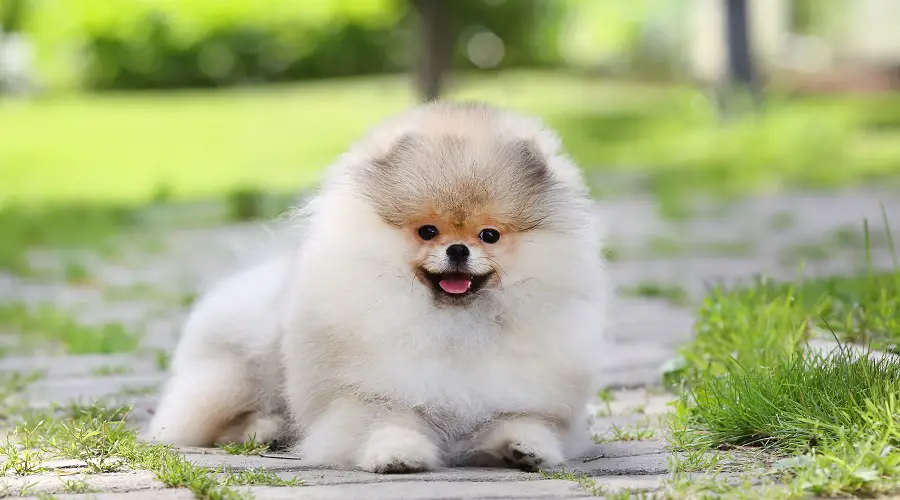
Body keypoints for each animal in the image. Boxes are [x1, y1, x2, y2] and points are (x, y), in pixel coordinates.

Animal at [149, 99, 612, 470]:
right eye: (427, 231)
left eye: (489, 235)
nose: (458, 249)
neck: (455, 327)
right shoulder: (371, 395)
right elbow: (385, 424)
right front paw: (397, 455)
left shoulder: (523, 395)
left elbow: (522, 420)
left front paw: (523, 448)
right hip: (238, 369)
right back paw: (264, 430)